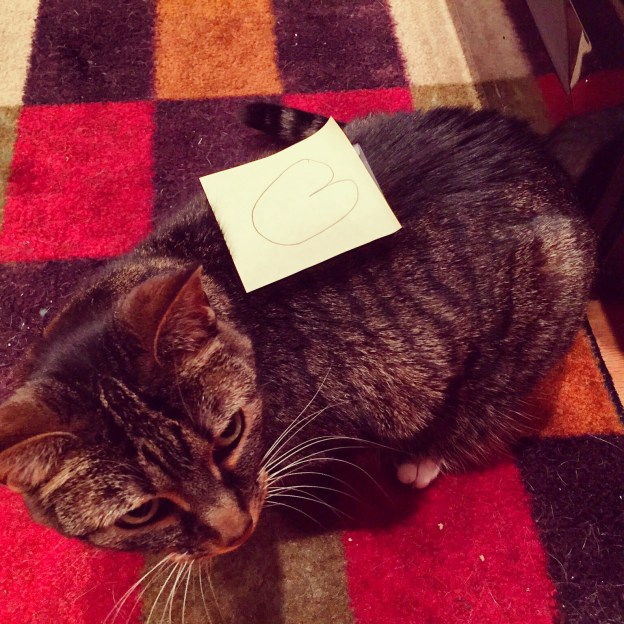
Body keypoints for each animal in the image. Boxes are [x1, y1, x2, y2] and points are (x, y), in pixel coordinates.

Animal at [0, 103, 596, 560]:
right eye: (141, 513)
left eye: (230, 435)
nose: (235, 530)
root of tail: (533, 147)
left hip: (539, 307)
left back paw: (426, 454)